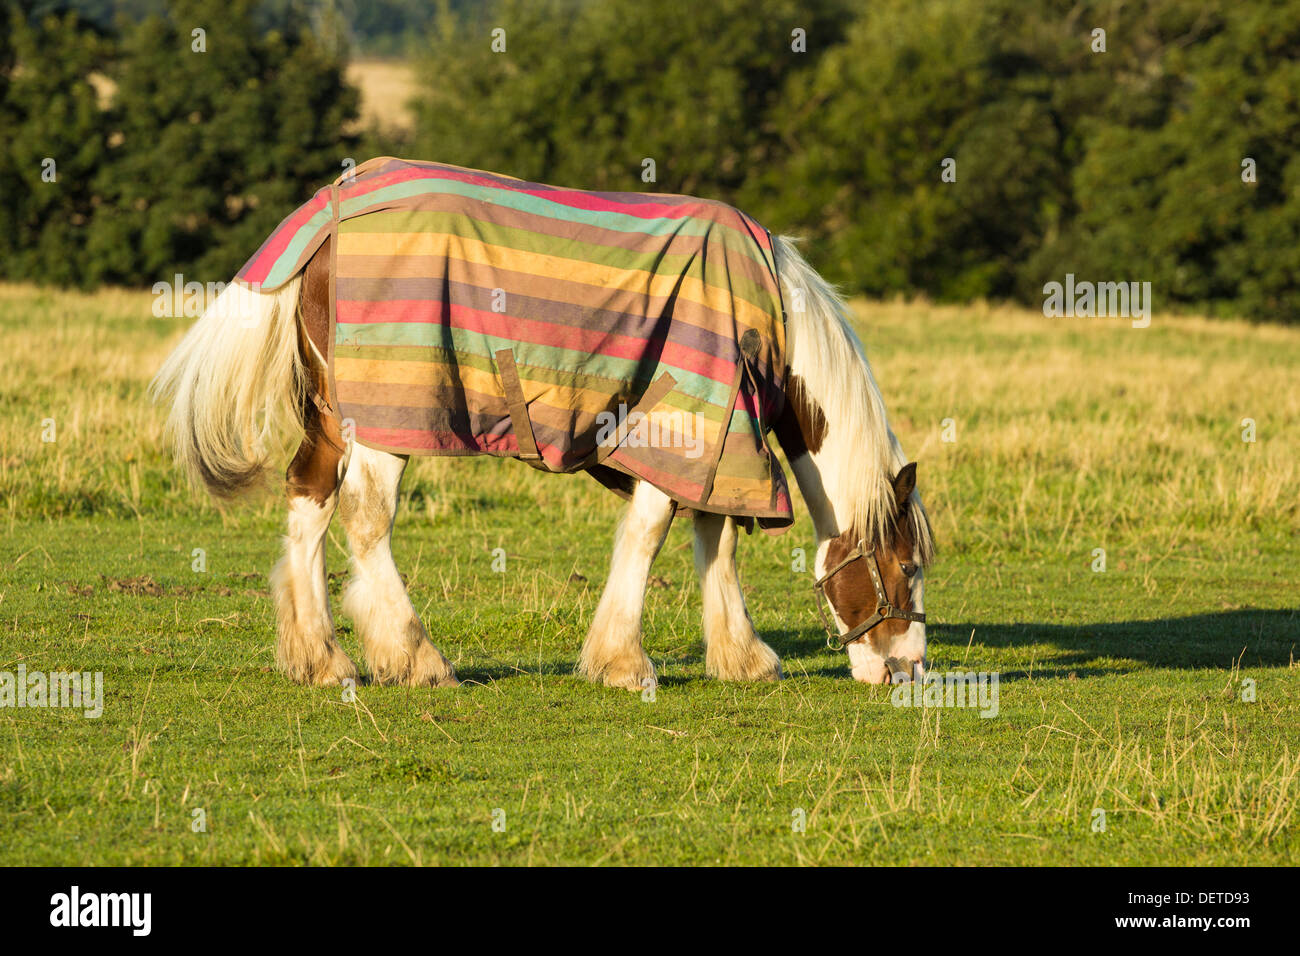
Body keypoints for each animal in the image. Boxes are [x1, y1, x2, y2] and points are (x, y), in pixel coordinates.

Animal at [151, 157, 934, 690]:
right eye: (907, 568)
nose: (907, 670)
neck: (767, 318)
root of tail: (328, 214)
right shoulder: (681, 427)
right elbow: (651, 535)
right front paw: (625, 661)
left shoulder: (716, 441)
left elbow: (716, 538)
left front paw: (739, 656)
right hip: (386, 419)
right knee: (366, 518)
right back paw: (415, 655)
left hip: (331, 416)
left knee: (308, 502)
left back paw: (322, 657)